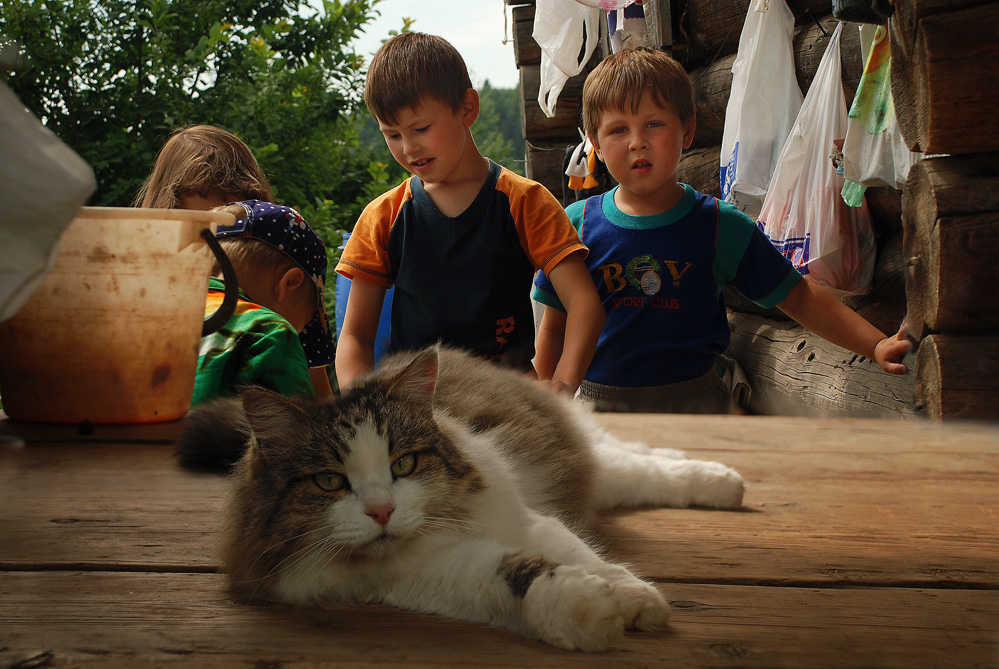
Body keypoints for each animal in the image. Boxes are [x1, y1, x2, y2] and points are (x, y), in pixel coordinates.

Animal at [178, 348, 744, 648]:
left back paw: (725, 482)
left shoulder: (530, 522)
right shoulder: (427, 576)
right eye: (330, 482)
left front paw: (637, 602)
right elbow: (521, 578)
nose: (382, 511)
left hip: (588, 460)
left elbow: (594, 562)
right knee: (633, 462)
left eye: (403, 465)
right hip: (598, 473)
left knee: (638, 461)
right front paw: (587, 614)